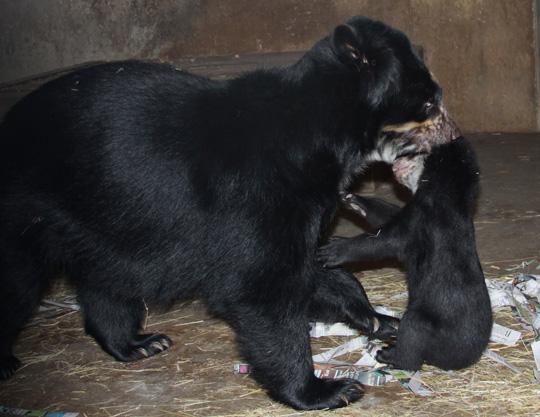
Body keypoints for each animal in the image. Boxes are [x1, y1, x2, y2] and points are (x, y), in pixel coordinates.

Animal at [1, 17, 442, 410]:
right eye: (423, 92)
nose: (441, 100)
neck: (322, 138)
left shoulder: (296, 206)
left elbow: (311, 267)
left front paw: (378, 319)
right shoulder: (256, 193)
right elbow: (261, 286)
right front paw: (325, 390)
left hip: (104, 223)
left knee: (106, 281)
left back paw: (137, 343)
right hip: (31, 211)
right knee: (18, 282)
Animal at [320, 139, 494, 370]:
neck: (451, 199)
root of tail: (466, 359)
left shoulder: (419, 220)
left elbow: (384, 240)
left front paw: (333, 248)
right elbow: (386, 215)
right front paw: (352, 198)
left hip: (425, 322)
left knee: (412, 336)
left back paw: (387, 354)